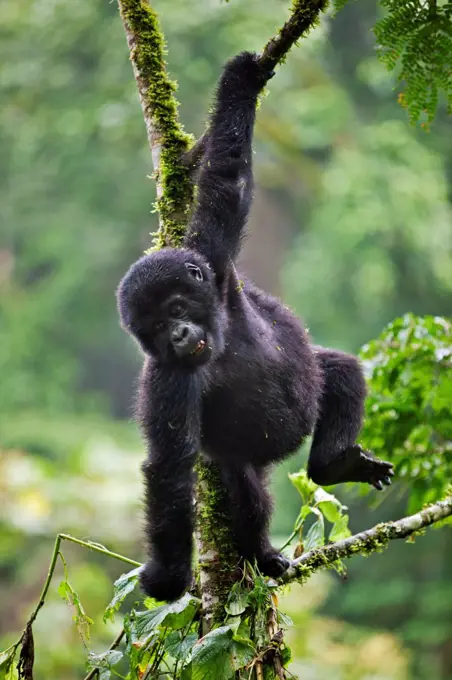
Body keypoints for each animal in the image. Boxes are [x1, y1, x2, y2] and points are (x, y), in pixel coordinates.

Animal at [118, 51, 394, 600]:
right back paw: (263, 551)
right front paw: (168, 574)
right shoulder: (165, 379)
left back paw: (333, 462)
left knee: (339, 370)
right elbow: (170, 467)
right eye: (153, 328)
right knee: (245, 485)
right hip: (248, 462)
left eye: (176, 309)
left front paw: (242, 78)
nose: (177, 335)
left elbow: (229, 180)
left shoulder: (213, 258)